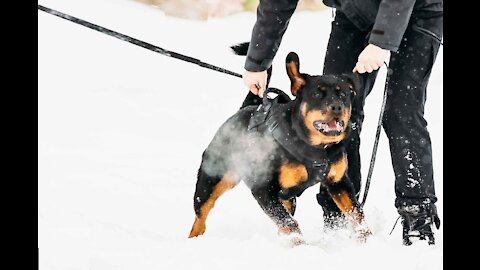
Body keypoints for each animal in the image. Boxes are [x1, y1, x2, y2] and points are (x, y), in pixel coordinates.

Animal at [189, 50, 370, 243]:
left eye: (343, 94)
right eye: (317, 94)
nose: (336, 107)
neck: (317, 148)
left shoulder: (339, 182)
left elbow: (356, 212)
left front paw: (367, 238)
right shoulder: (263, 189)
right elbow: (289, 223)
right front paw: (300, 245)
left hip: (288, 198)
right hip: (213, 177)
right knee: (201, 213)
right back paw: (194, 238)